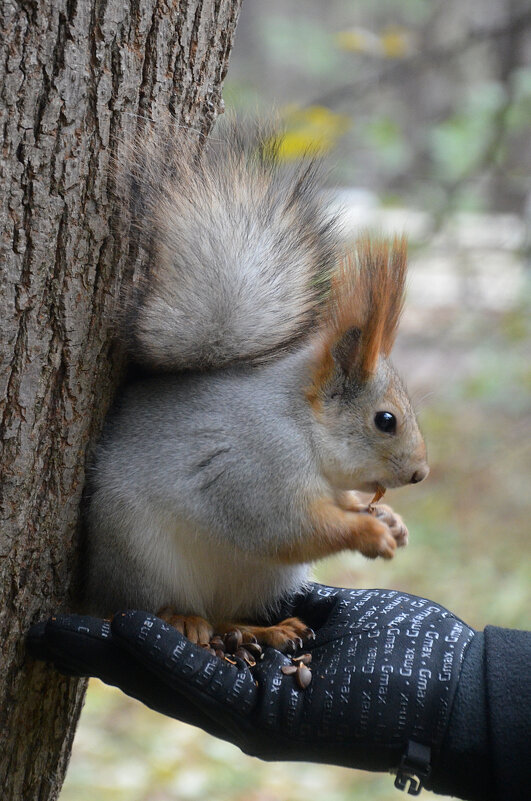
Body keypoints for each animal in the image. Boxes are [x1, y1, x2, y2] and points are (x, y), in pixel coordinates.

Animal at [85, 123, 430, 648]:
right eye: (385, 420)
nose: (420, 474)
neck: (301, 424)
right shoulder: (257, 468)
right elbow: (286, 529)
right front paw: (370, 533)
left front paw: (386, 518)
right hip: (140, 560)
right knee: (154, 604)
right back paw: (182, 620)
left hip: (258, 579)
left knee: (226, 613)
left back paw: (260, 631)